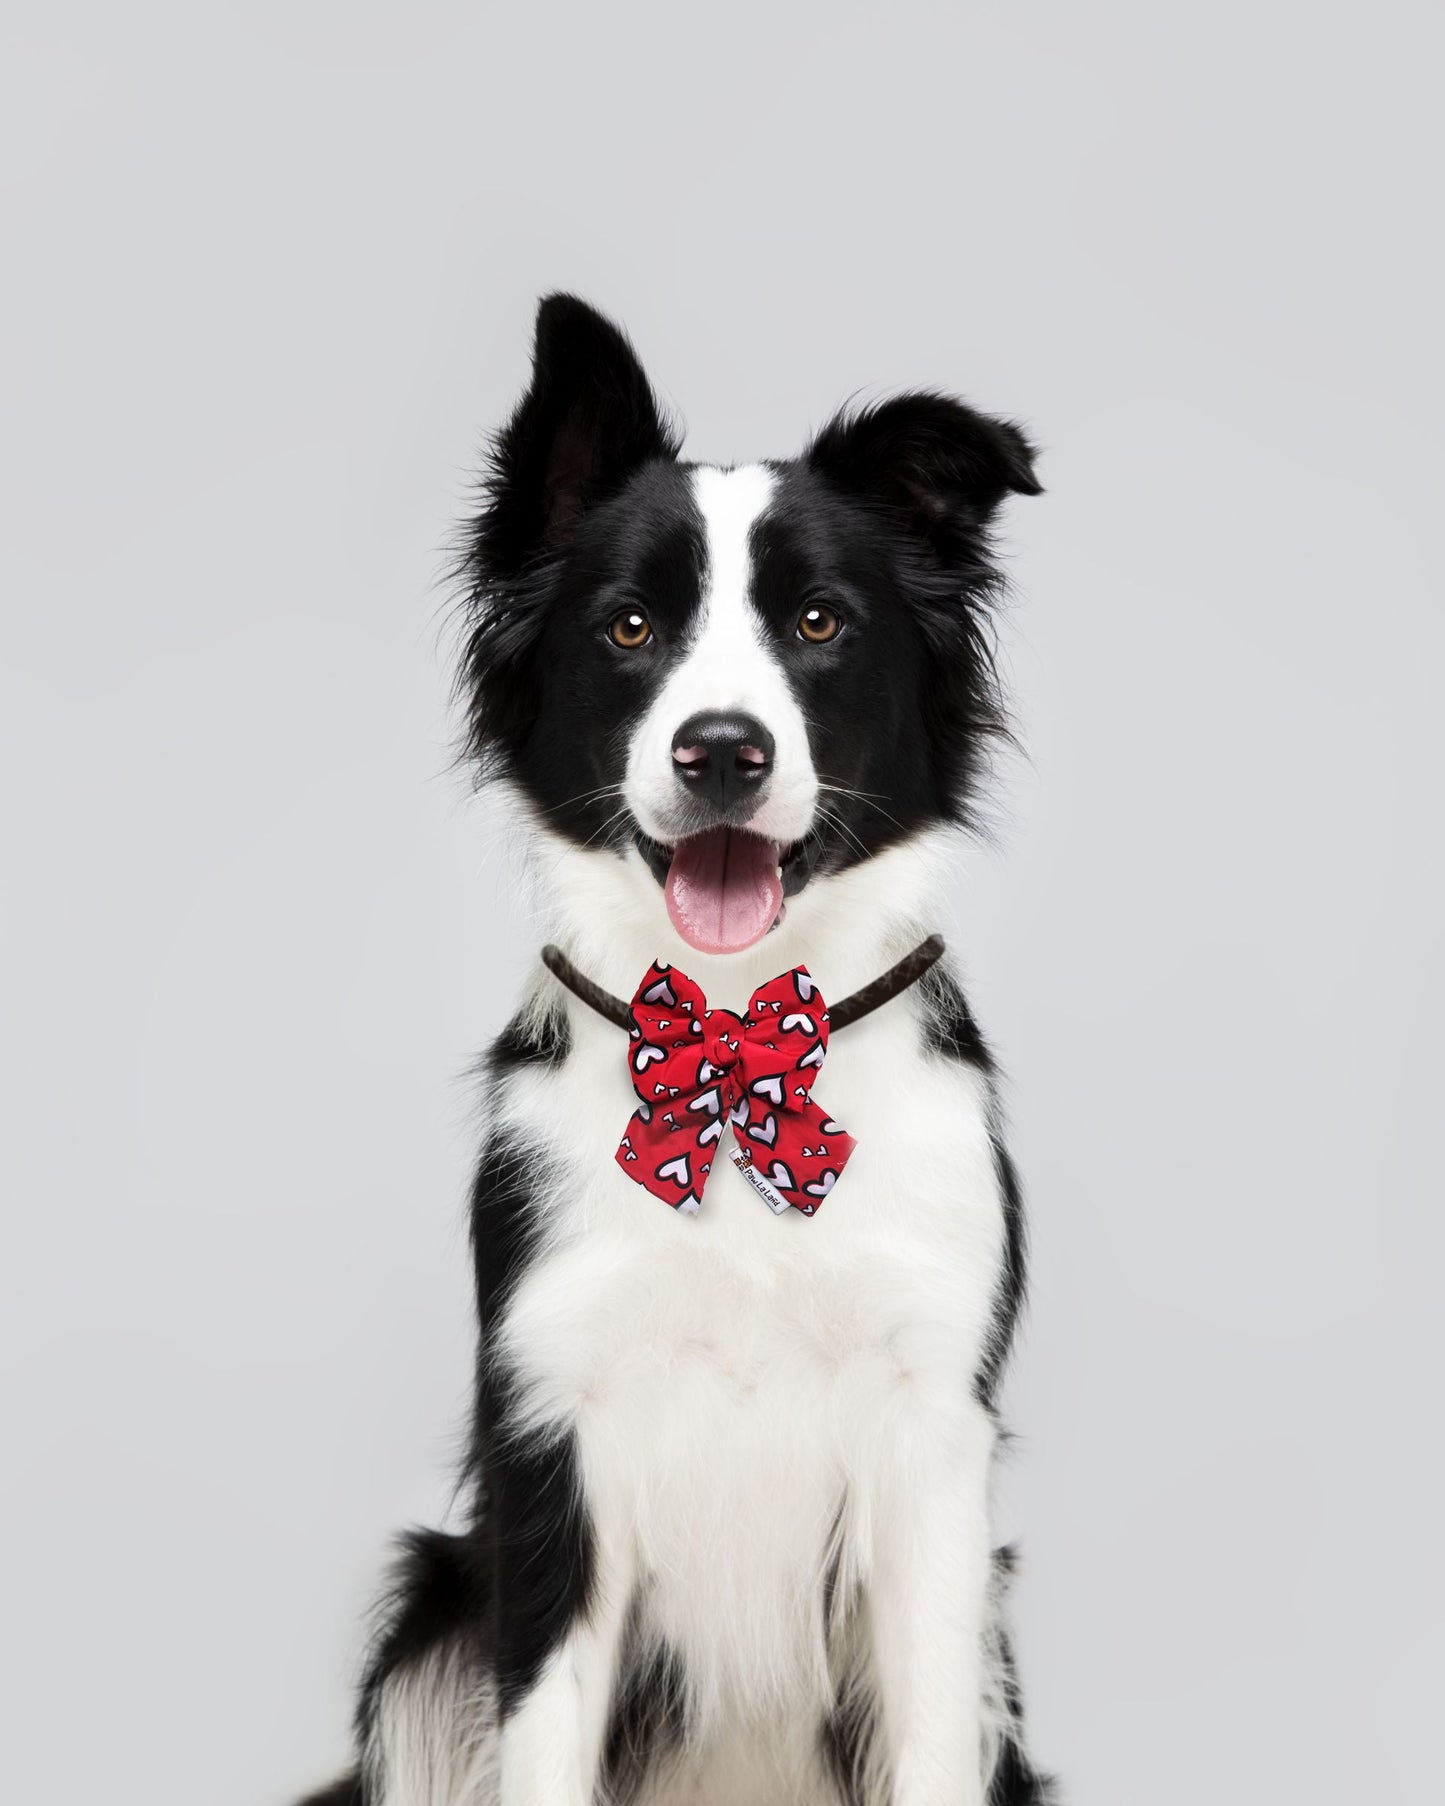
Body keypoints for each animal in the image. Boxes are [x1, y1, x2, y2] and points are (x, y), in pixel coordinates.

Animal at [301, 299, 1047, 1806]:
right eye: (630, 626)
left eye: (819, 622)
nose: (720, 751)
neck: (734, 1033)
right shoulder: (552, 1438)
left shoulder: (931, 1442)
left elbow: (932, 1733)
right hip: (430, 1619)